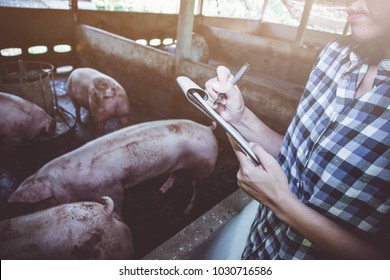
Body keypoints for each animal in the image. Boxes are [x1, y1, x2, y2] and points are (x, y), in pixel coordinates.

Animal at [7, 119, 219, 213]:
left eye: (37, 202)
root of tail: (208, 129)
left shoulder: (113, 186)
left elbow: (117, 202)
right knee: (175, 174)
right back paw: (162, 190)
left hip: (205, 167)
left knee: (196, 189)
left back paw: (186, 211)